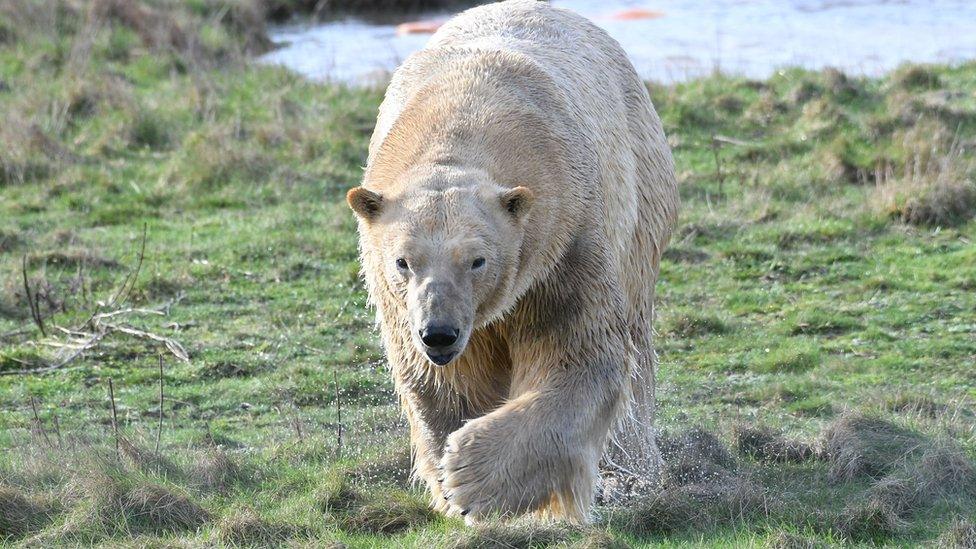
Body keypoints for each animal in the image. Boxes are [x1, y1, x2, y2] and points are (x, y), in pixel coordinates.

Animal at [346, 0, 680, 524]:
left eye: (477, 260)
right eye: (403, 262)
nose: (438, 333)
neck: (462, 117)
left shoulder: (564, 244)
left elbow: (579, 354)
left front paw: (471, 477)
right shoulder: (405, 307)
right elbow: (447, 383)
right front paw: (450, 483)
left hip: (641, 200)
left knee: (637, 346)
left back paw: (634, 470)